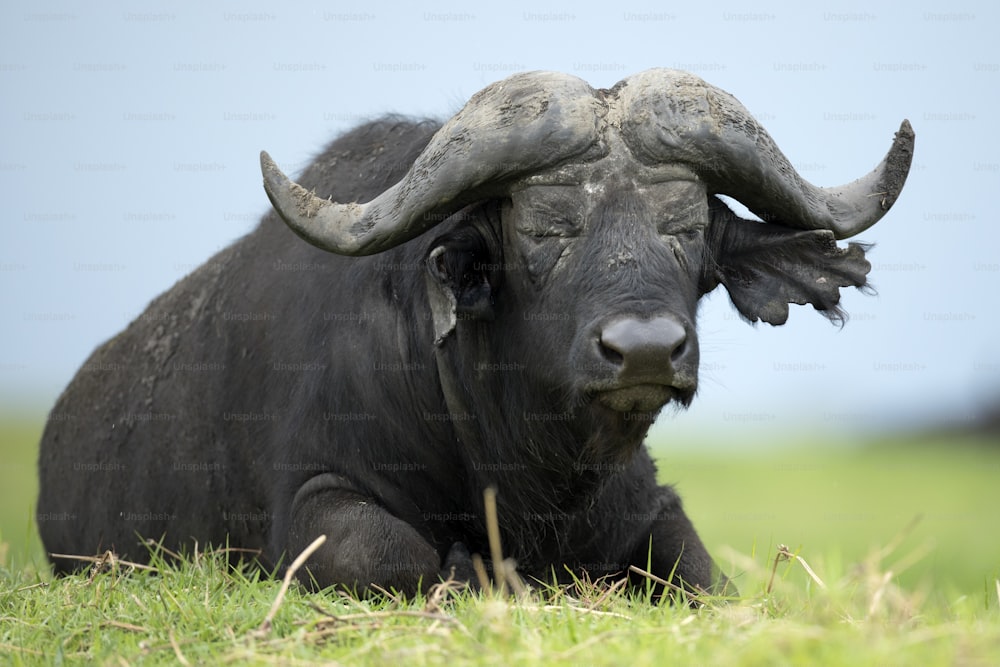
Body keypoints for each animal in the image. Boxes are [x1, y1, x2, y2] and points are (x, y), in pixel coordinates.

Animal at [37, 70, 916, 596]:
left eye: (689, 226)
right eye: (545, 230)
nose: (643, 349)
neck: (525, 473)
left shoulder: (648, 504)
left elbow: (697, 569)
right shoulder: (311, 504)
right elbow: (393, 553)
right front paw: (463, 571)